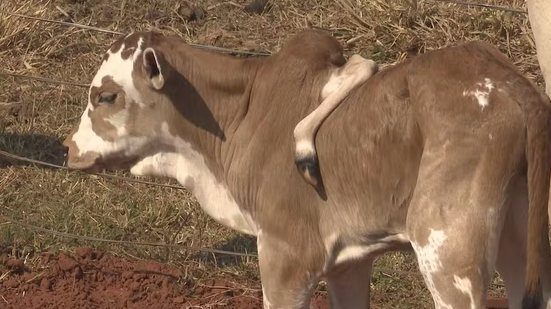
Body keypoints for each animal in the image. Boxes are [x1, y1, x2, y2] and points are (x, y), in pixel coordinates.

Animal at [64, 29, 551, 308]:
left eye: (105, 95)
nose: (69, 148)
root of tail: (510, 82)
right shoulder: (348, 264)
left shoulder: (287, 255)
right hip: (521, 242)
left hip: (449, 256)